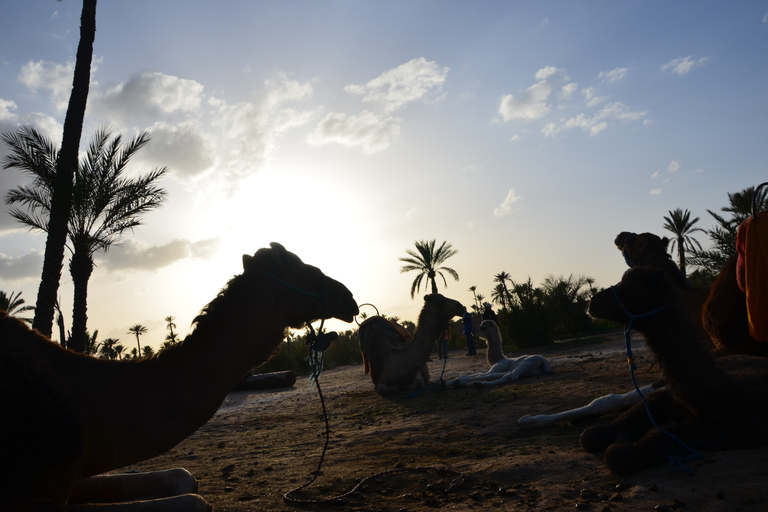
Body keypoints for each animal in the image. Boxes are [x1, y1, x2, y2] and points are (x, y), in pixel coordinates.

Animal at [580, 270, 768, 474]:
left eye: (630, 290)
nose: (592, 303)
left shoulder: (711, 433)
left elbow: (623, 454)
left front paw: (624, 438)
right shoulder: (667, 397)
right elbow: (591, 435)